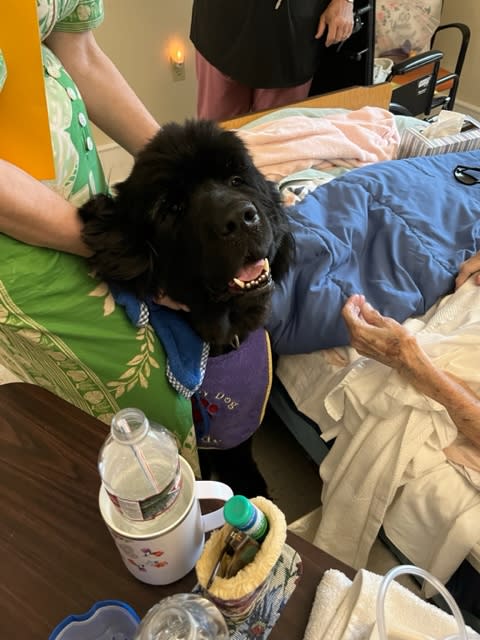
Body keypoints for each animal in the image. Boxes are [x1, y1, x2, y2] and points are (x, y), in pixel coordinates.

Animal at [79, 117, 292, 492]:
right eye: (171, 208)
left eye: (235, 179)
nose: (241, 218)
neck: (222, 339)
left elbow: (240, 448)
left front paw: (248, 482)